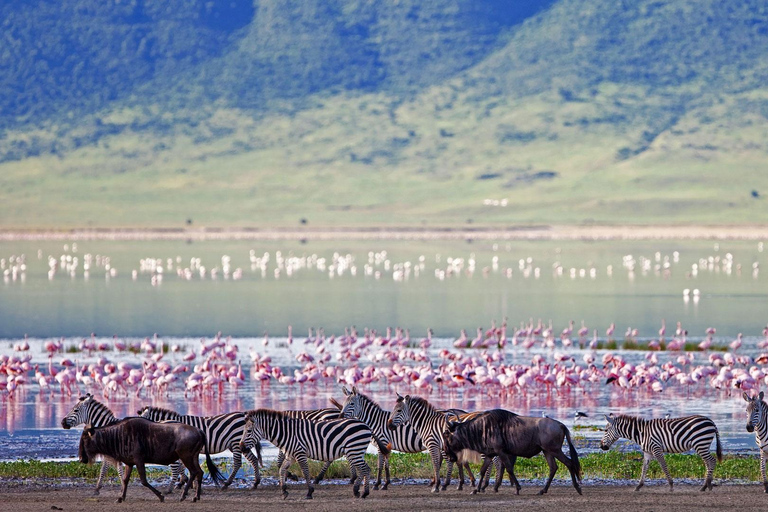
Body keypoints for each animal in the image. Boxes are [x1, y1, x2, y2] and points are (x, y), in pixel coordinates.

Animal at [237, 410, 388, 498]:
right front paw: (284, 490)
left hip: (354, 450)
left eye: (248, 431)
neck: (287, 433)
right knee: (363, 469)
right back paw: (357, 490)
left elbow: (305, 472)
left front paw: (309, 491)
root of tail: (365, 425)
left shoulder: (300, 453)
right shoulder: (291, 456)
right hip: (355, 451)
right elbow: (282, 469)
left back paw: (364, 493)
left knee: (365, 469)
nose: (241, 447)